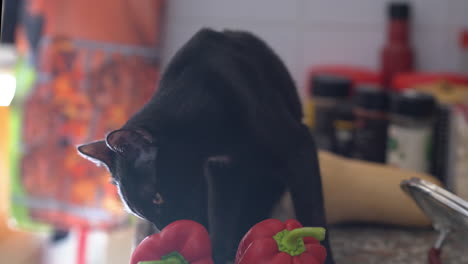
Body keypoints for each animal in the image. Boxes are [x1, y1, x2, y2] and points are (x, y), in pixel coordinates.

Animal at [77, 27, 332, 262]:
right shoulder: (222, 171)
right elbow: (222, 218)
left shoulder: (299, 147)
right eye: (142, 213)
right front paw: (219, 254)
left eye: (158, 198)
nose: (165, 230)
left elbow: (313, 214)